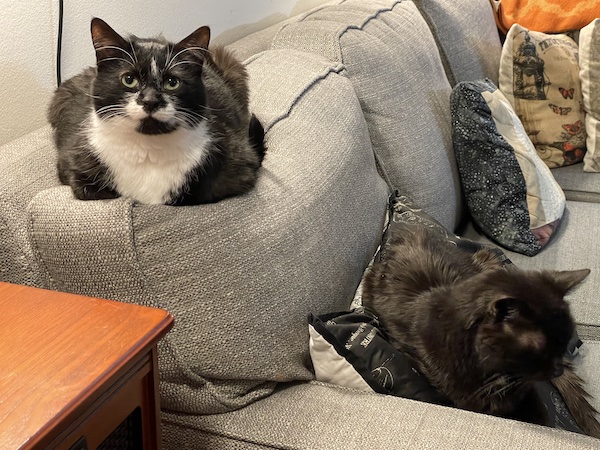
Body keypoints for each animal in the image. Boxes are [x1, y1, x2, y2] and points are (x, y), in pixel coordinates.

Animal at [47, 18, 262, 205]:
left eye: (172, 82)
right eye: (129, 79)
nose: (150, 101)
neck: (148, 149)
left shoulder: (239, 164)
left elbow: (201, 194)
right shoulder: (73, 159)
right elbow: (87, 189)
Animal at [360, 227, 600, 438]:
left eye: (564, 340)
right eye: (540, 346)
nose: (558, 369)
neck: (497, 374)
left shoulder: (526, 391)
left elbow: (541, 416)